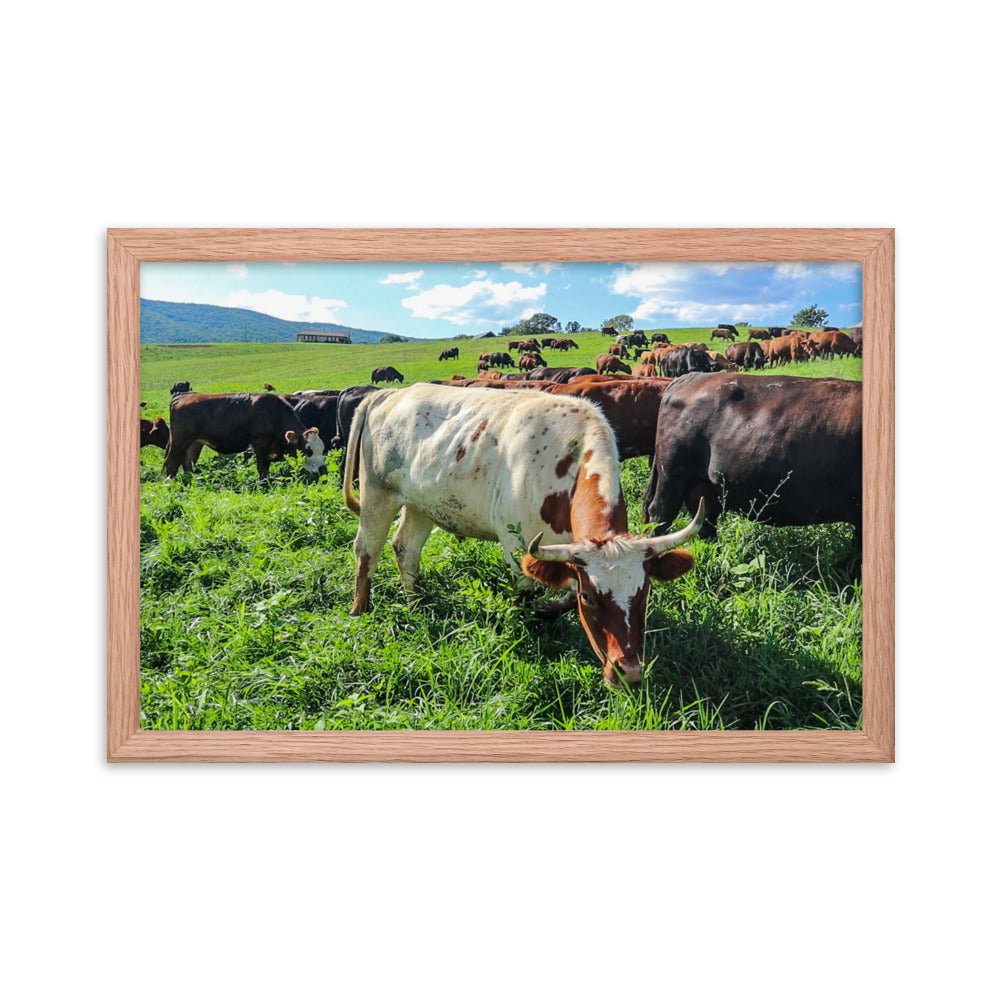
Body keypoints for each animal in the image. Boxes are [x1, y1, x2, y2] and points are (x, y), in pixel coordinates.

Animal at [163, 393, 327, 479]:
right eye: (308, 450)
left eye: (322, 449)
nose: (323, 470)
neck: (272, 414)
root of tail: (183, 396)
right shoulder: (260, 444)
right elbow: (262, 468)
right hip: (179, 440)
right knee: (172, 461)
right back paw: (171, 483)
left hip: (195, 442)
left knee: (188, 461)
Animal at [342, 383, 704, 686]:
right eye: (591, 598)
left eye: (644, 592)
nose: (628, 672)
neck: (567, 462)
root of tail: (389, 394)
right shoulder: (517, 546)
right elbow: (526, 597)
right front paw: (528, 628)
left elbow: (562, 597)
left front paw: (549, 612)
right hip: (377, 495)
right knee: (366, 551)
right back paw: (360, 610)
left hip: (421, 505)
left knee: (406, 549)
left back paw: (415, 602)